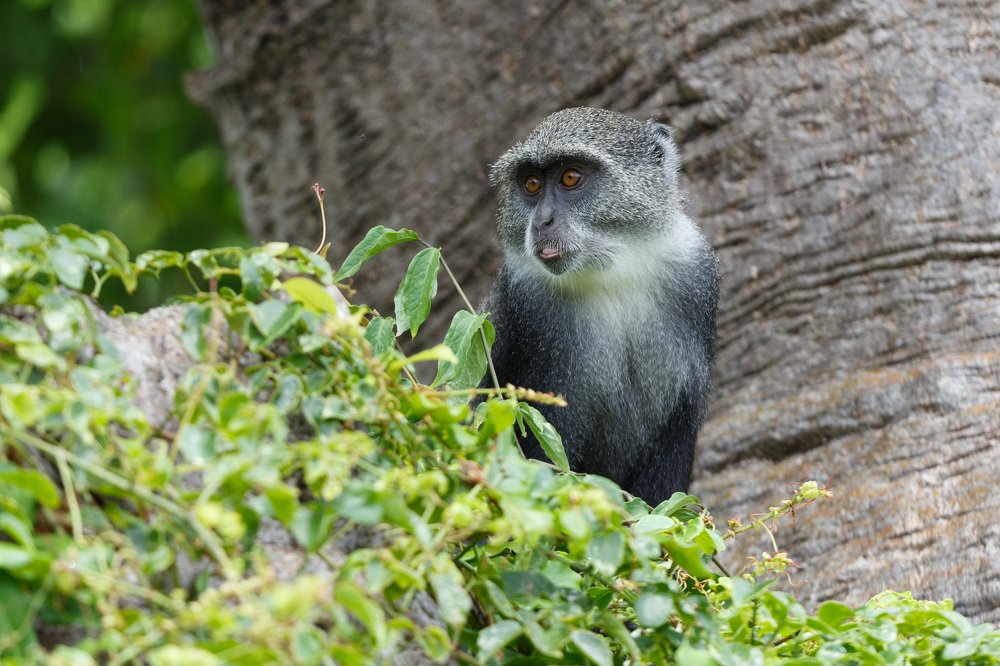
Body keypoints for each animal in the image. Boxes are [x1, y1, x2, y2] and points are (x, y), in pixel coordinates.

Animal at [483, 107, 719, 506]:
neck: (611, 269)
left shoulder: (695, 273)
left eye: (570, 177)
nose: (541, 220)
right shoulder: (526, 305)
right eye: (531, 184)